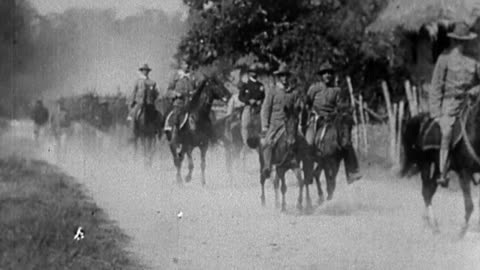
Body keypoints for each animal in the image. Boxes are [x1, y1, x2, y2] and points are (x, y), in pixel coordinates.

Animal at [400, 95, 480, 238]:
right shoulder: (464, 173)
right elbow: (469, 205)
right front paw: (461, 232)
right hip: (425, 164)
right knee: (426, 192)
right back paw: (434, 226)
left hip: (438, 167)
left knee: (430, 190)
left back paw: (427, 222)